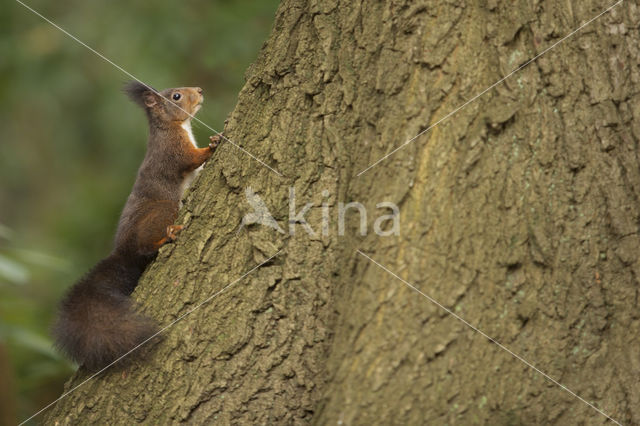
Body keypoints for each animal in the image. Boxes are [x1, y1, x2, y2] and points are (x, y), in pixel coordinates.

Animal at [53, 81, 222, 372]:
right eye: (176, 96)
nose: (200, 90)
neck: (172, 126)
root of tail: (124, 252)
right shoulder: (172, 150)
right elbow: (190, 159)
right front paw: (213, 144)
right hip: (163, 211)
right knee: (147, 246)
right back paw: (167, 236)